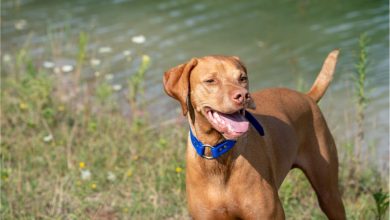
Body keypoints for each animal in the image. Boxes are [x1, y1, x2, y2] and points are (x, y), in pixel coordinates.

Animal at [163, 50, 346, 219]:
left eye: (242, 78)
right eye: (210, 81)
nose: (243, 96)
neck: (218, 154)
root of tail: (307, 97)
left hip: (328, 194)